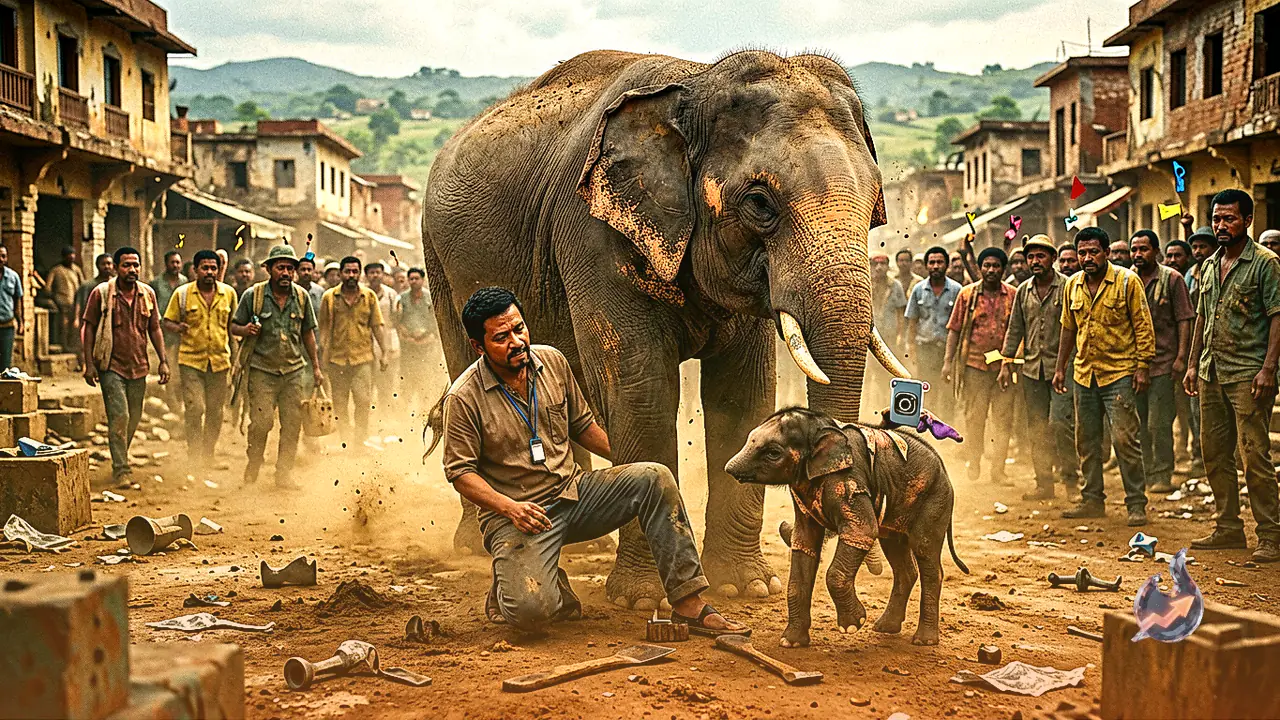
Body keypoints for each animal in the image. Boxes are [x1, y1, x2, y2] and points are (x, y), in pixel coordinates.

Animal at [421, 49, 914, 609]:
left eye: (875, 203)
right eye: (760, 203)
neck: (697, 83)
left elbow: (741, 394)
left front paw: (746, 586)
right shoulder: (594, 233)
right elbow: (642, 391)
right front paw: (643, 599)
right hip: (440, 261)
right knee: (467, 372)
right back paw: (478, 544)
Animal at [725, 406, 968, 647]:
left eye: (773, 453)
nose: (729, 469)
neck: (819, 428)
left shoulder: (849, 480)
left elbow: (862, 530)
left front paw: (854, 624)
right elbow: (804, 541)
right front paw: (790, 642)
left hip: (935, 498)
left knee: (925, 550)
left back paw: (923, 640)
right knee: (897, 552)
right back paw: (885, 628)